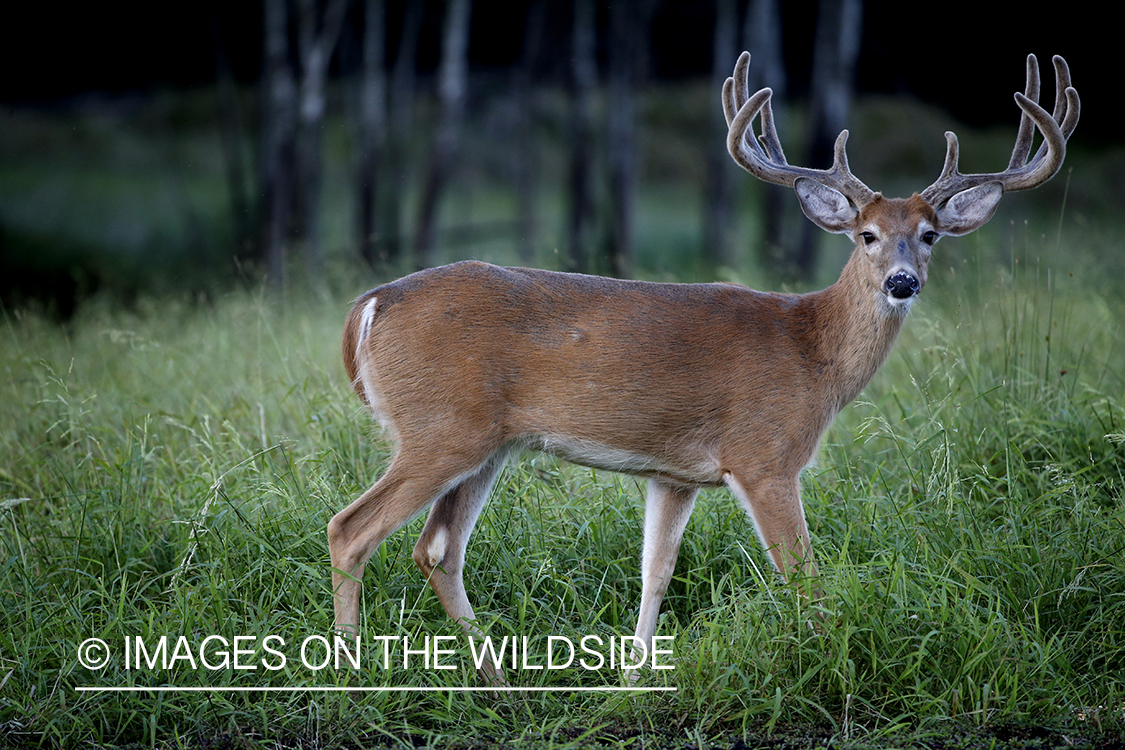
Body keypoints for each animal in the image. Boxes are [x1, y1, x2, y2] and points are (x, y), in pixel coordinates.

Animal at [328, 52, 1075, 683]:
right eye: (866, 234)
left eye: (928, 235)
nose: (901, 282)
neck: (812, 352)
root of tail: (371, 303)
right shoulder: (764, 454)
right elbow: (801, 576)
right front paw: (830, 666)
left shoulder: (674, 474)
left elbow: (655, 571)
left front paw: (632, 680)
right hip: (440, 427)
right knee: (351, 529)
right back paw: (350, 670)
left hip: (490, 443)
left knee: (437, 548)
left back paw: (497, 680)